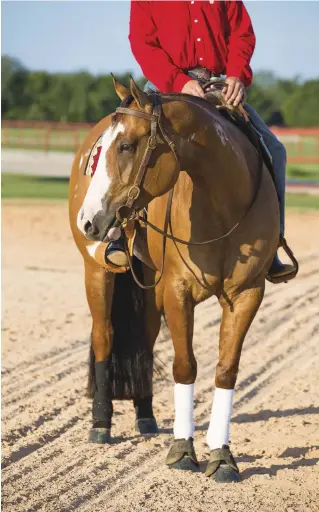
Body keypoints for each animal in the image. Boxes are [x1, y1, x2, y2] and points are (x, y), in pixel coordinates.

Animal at [69, 77, 298, 484]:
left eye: (127, 145)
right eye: (104, 151)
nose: (88, 219)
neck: (222, 204)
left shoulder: (247, 295)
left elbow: (226, 370)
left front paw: (222, 456)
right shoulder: (177, 293)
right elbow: (185, 366)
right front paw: (182, 450)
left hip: (148, 282)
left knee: (144, 341)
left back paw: (145, 416)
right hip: (98, 273)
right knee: (104, 337)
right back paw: (101, 424)